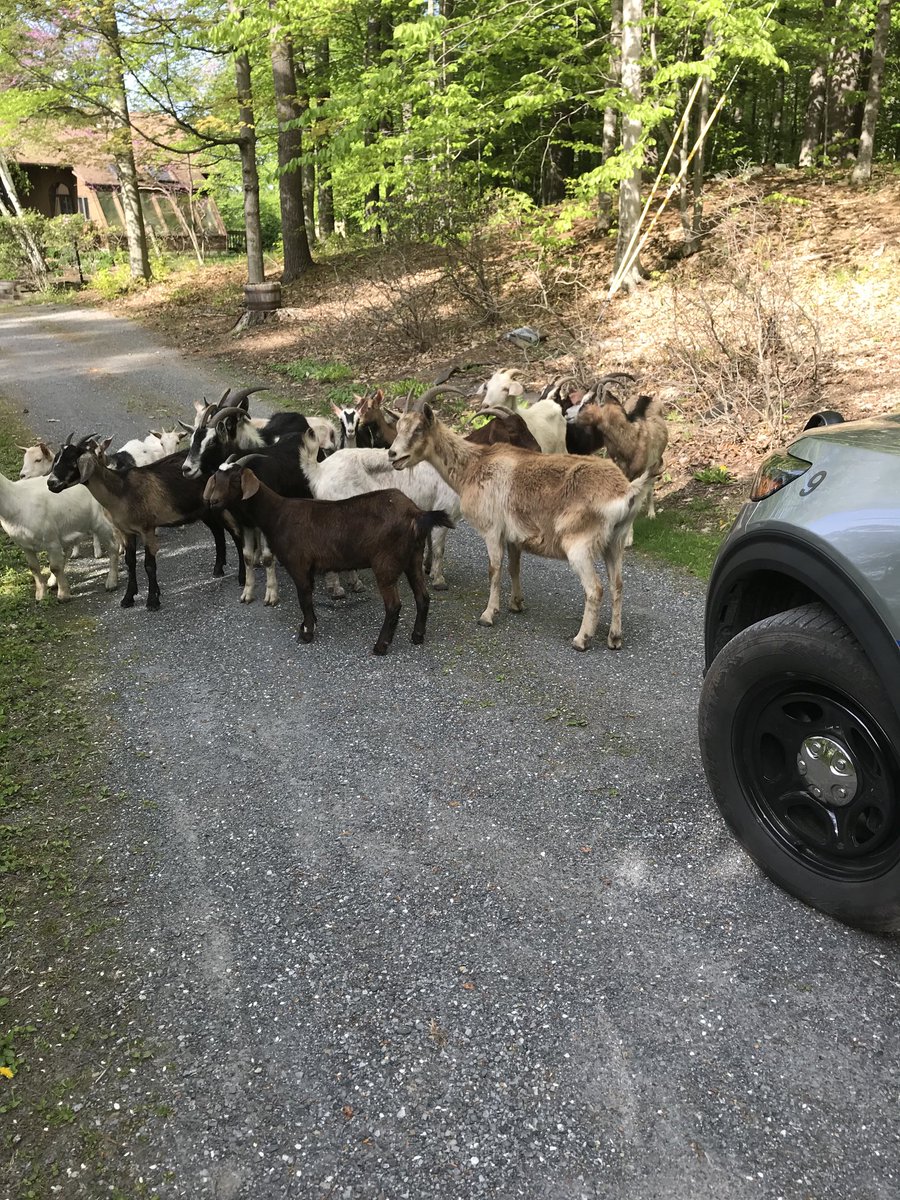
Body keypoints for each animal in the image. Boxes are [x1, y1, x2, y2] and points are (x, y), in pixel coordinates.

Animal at [0, 469, 120, 601]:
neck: (16, 500)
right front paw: (40, 595)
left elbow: (55, 568)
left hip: (101, 520)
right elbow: (34, 568)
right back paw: (52, 582)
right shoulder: (26, 546)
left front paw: (63, 595)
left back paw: (111, 582)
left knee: (113, 546)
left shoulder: (51, 540)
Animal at [48, 438, 245, 610]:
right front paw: (128, 598)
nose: (51, 483)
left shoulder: (147, 528)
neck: (122, 490)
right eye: (56, 459)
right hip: (205, 510)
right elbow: (130, 562)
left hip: (223, 505)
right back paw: (218, 569)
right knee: (218, 532)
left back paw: (242, 577)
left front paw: (152, 601)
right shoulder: (127, 531)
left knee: (236, 533)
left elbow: (149, 565)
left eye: (71, 460)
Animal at [204, 462, 452, 655]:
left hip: (386, 562)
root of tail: (416, 513)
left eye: (235, 480)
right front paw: (306, 626)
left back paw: (381, 646)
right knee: (423, 597)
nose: (213, 502)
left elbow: (304, 599)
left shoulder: (299, 564)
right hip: (413, 557)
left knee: (394, 606)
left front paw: (307, 634)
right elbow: (308, 600)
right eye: (215, 478)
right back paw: (417, 636)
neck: (276, 515)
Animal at [387, 405, 654, 652]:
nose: (392, 454)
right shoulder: (513, 536)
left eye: (418, 429)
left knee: (595, 589)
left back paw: (581, 639)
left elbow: (494, 569)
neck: (474, 466)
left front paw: (488, 615)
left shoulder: (492, 530)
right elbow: (514, 568)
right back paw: (614, 638)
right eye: (399, 426)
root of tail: (625, 492)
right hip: (615, 543)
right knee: (617, 585)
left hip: (579, 544)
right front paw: (516, 604)